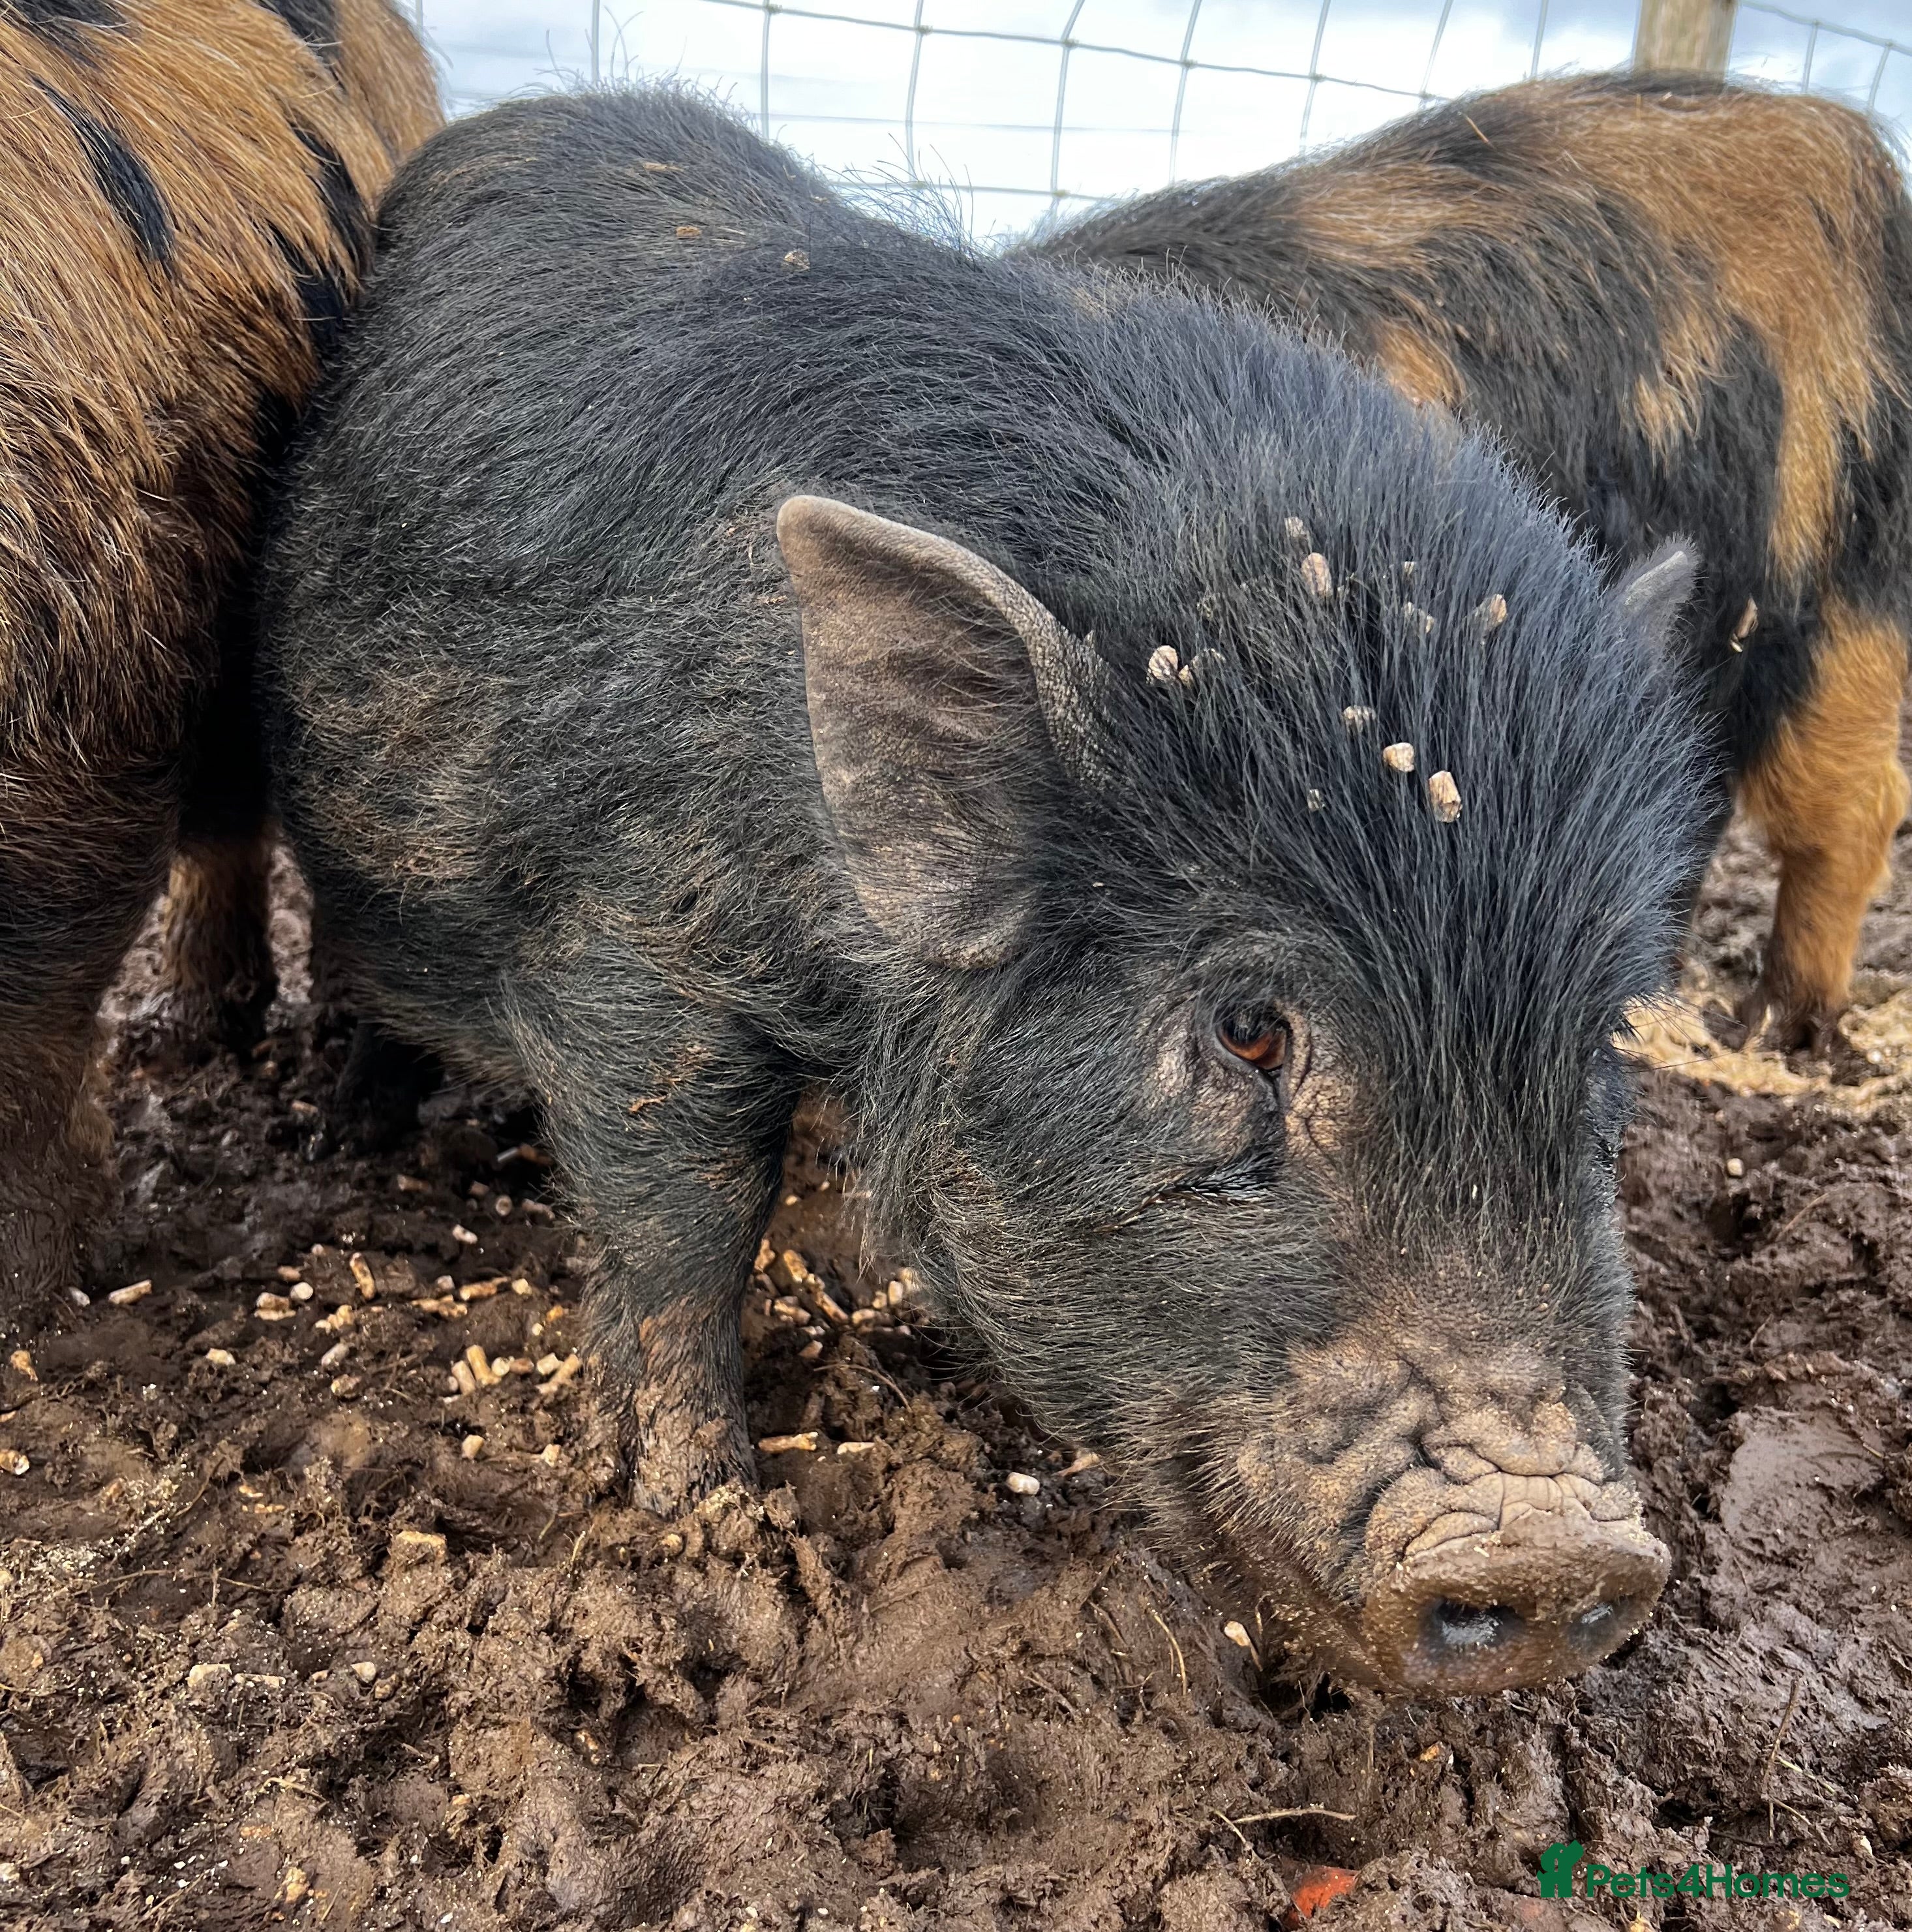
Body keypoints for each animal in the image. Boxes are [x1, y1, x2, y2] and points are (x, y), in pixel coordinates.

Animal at [256, 87, 1713, 1695]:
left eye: (1600, 1042)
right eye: (1247, 1027)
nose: (1556, 1553)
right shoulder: (631, 939)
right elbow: (685, 1217)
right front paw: (711, 1522)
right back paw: (353, 1136)